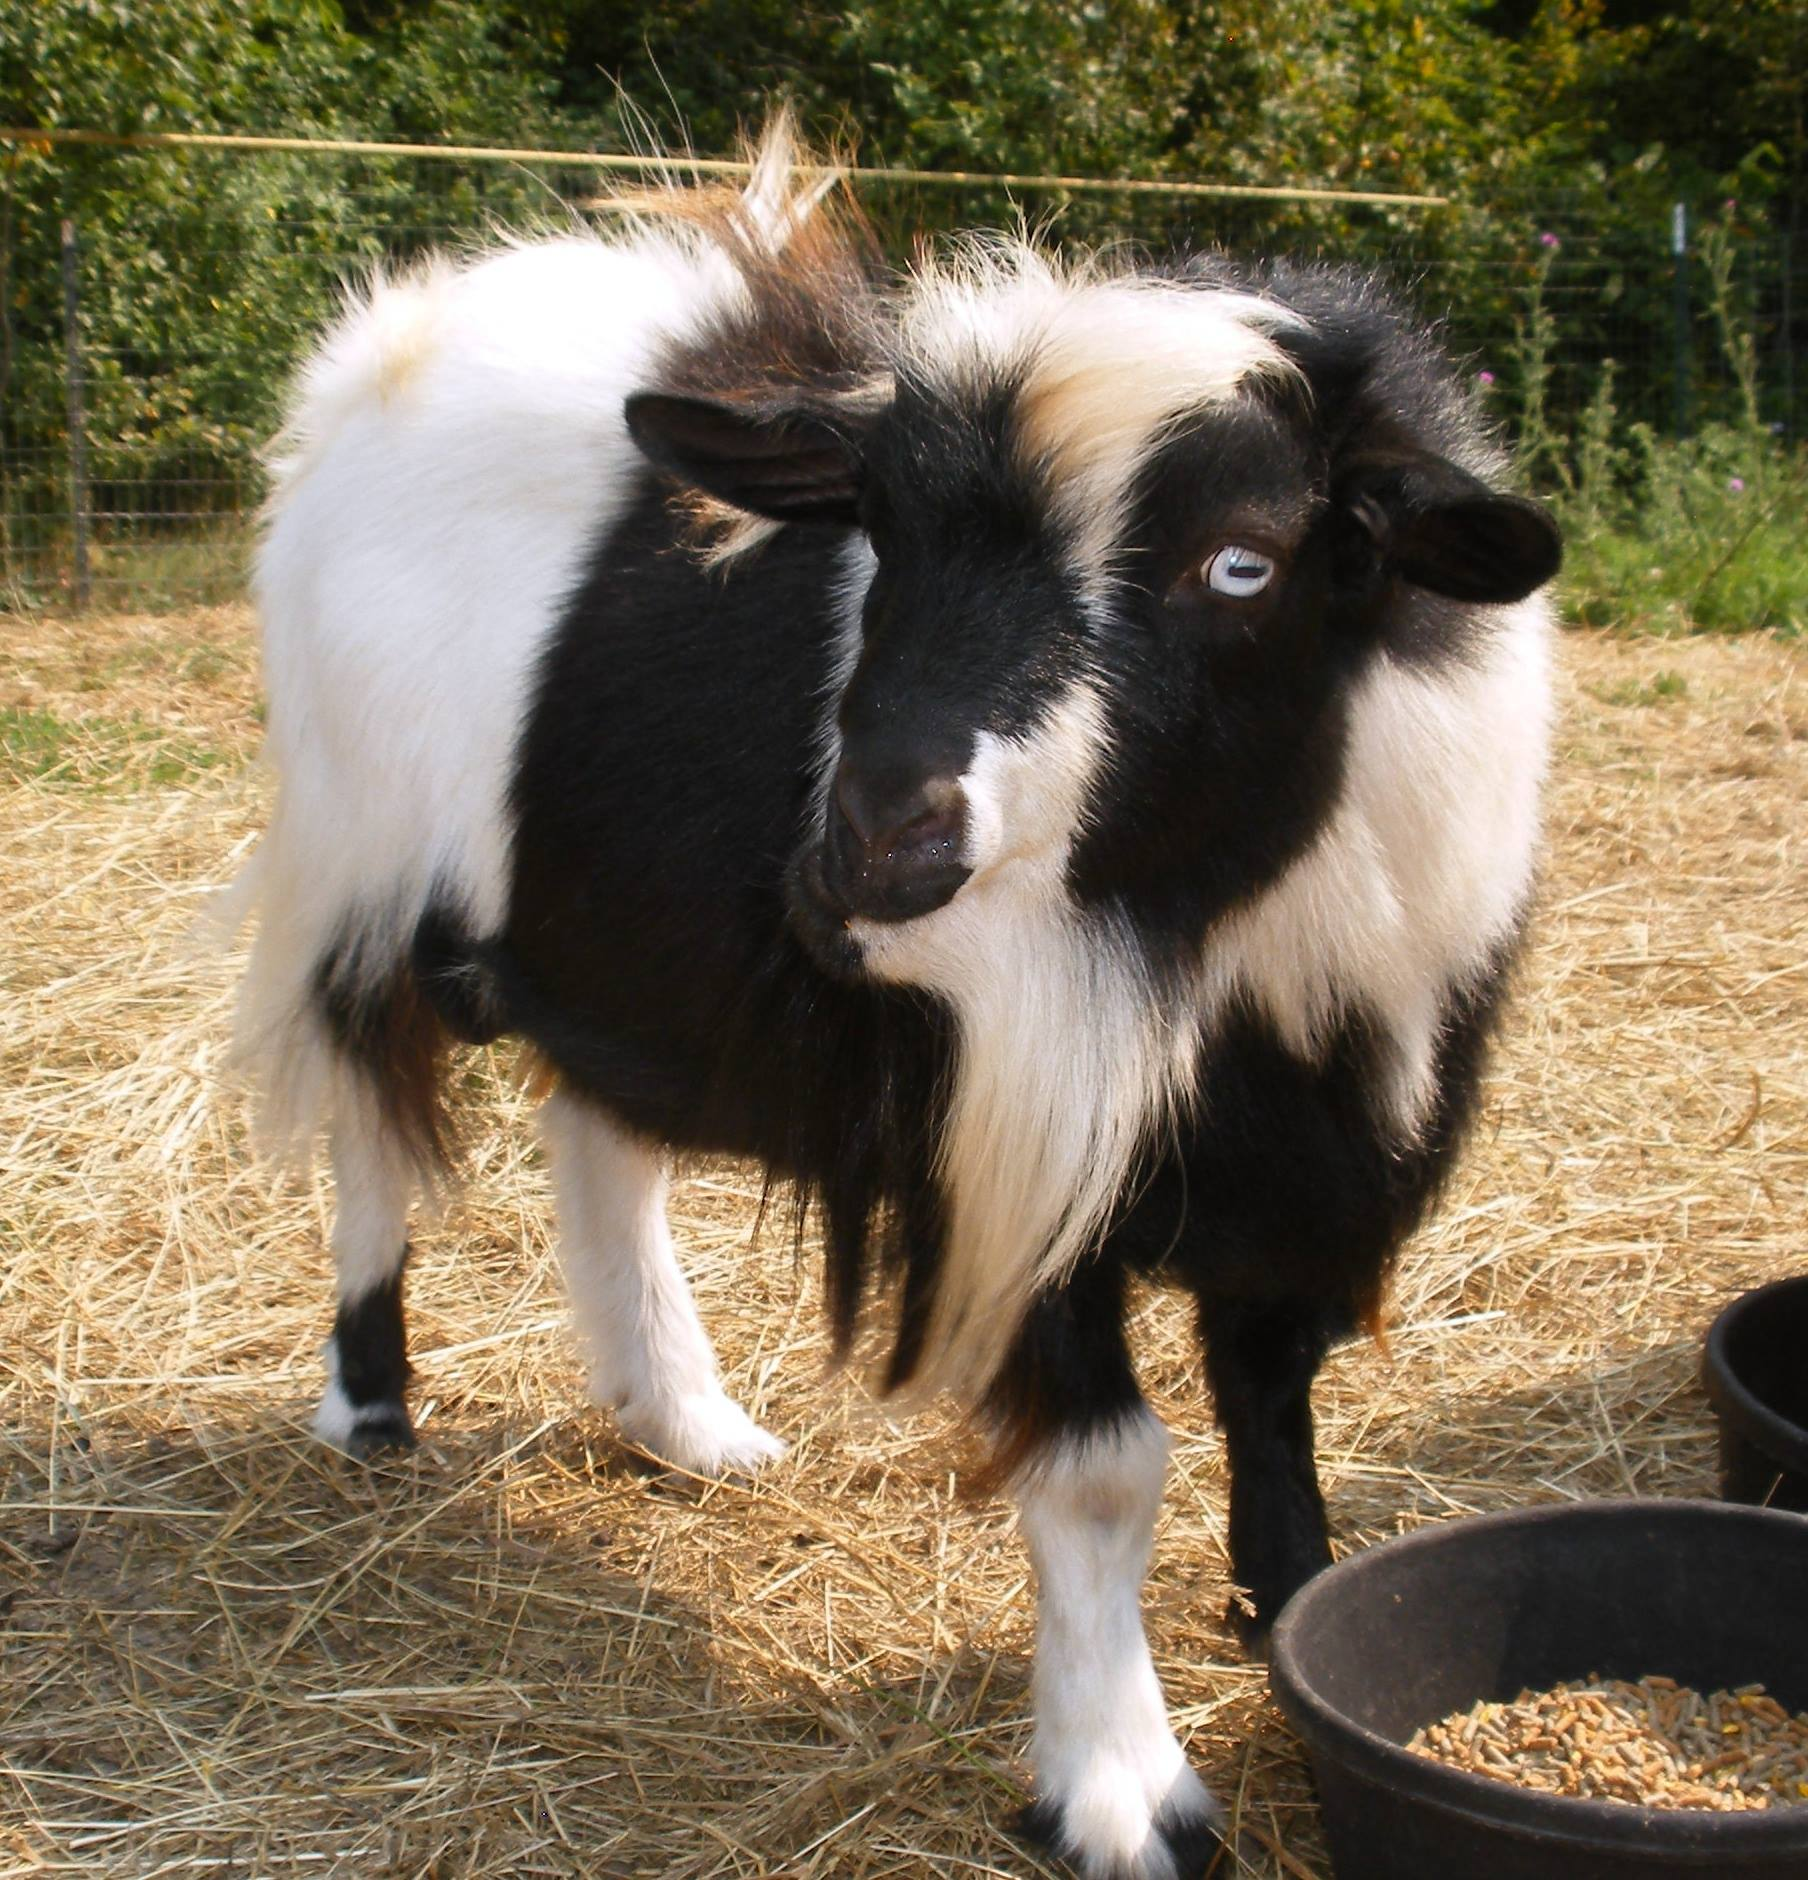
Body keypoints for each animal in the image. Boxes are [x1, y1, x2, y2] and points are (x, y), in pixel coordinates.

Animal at [231, 123, 1558, 1880]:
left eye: (1243, 560)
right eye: (884, 540)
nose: (874, 835)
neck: (1207, 935)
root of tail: (388, 336)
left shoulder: (1319, 1143)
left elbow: (1276, 1402)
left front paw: (1292, 1613)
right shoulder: (1007, 1144)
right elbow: (1105, 1471)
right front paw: (1120, 1790)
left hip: (600, 921)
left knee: (603, 1137)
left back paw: (682, 1419)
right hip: (362, 864)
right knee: (371, 1125)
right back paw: (372, 1399)